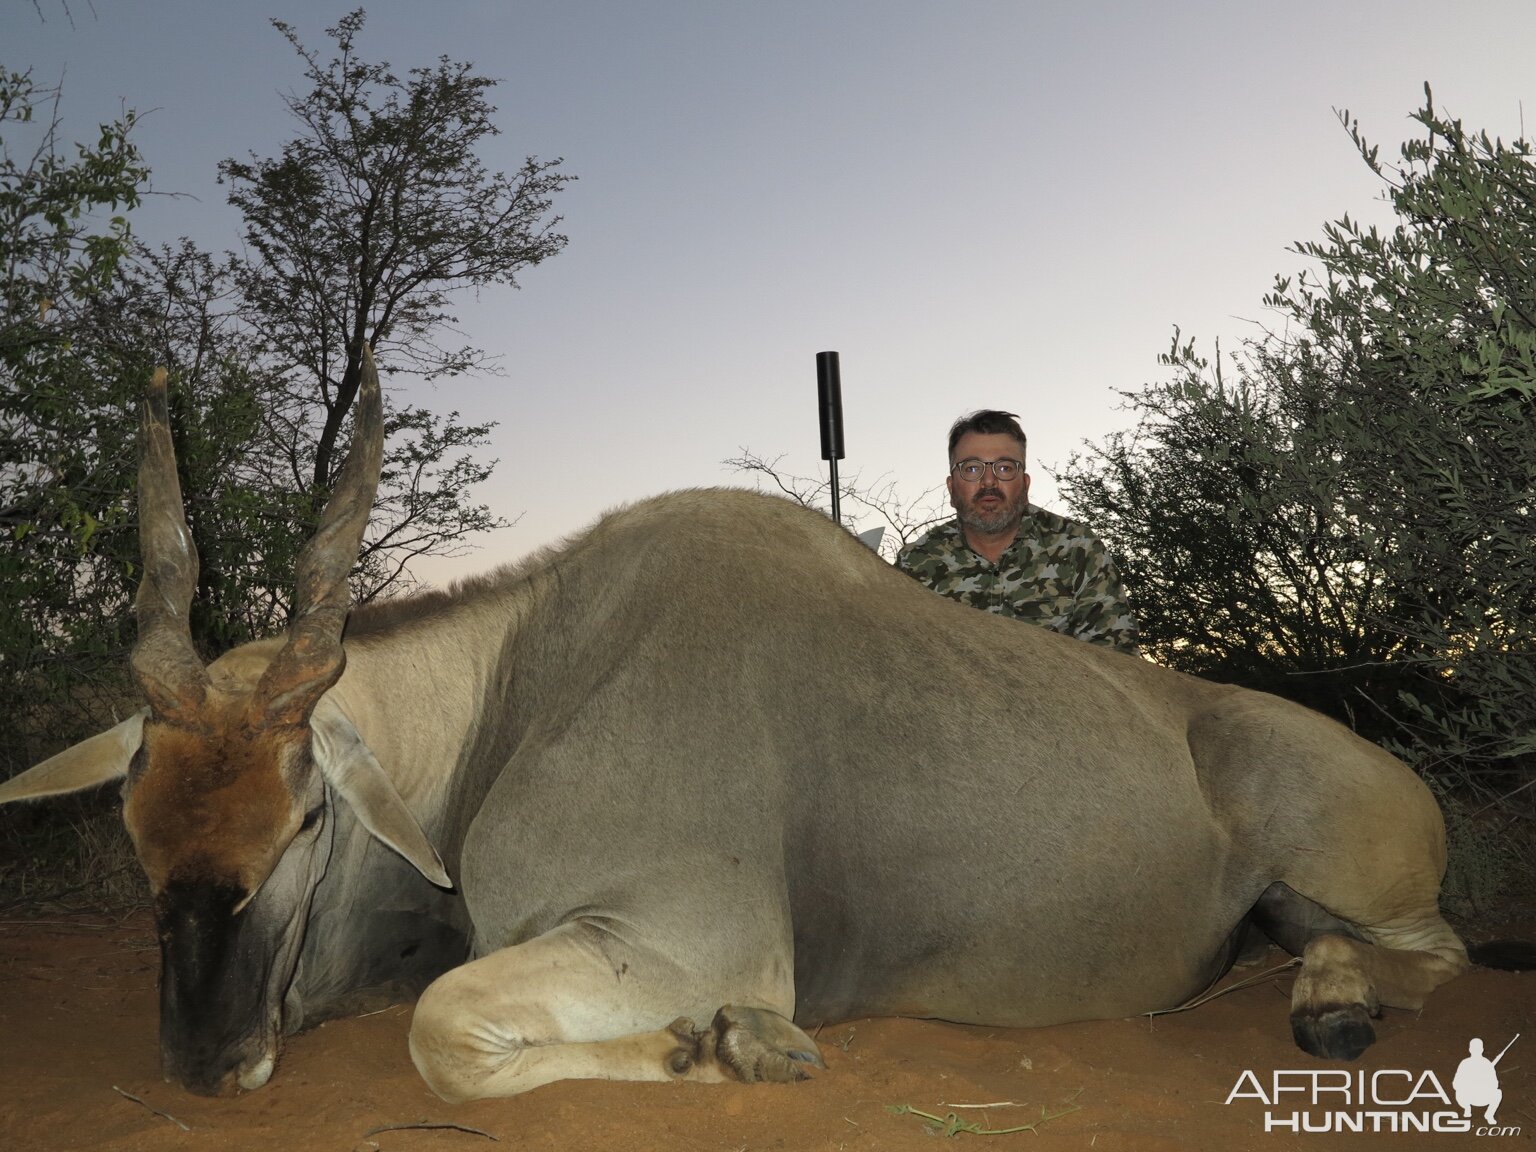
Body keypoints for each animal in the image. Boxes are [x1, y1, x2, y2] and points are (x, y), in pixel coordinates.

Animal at [0, 356, 1474, 1105]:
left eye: (306, 816)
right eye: (132, 826)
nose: (204, 1063)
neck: (529, 680)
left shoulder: (680, 941)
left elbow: (443, 1033)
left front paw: (724, 1045)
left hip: (1357, 868)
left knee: (1438, 957)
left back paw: (1334, 1005)